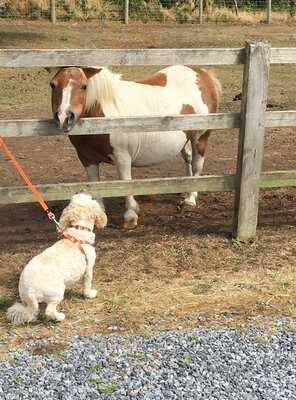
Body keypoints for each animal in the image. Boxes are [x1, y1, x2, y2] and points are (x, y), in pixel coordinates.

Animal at [6, 194, 107, 324]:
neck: (79, 230)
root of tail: (30, 292)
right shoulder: (88, 268)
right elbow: (87, 284)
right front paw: (89, 294)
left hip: (25, 299)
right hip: (58, 292)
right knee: (49, 311)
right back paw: (59, 317)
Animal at [48, 65, 220, 228]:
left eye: (84, 86)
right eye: (52, 85)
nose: (64, 117)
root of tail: (202, 73)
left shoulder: (122, 157)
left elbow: (125, 182)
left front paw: (131, 216)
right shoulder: (87, 158)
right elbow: (95, 183)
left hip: (200, 137)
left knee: (197, 164)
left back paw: (190, 198)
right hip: (186, 138)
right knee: (188, 159)